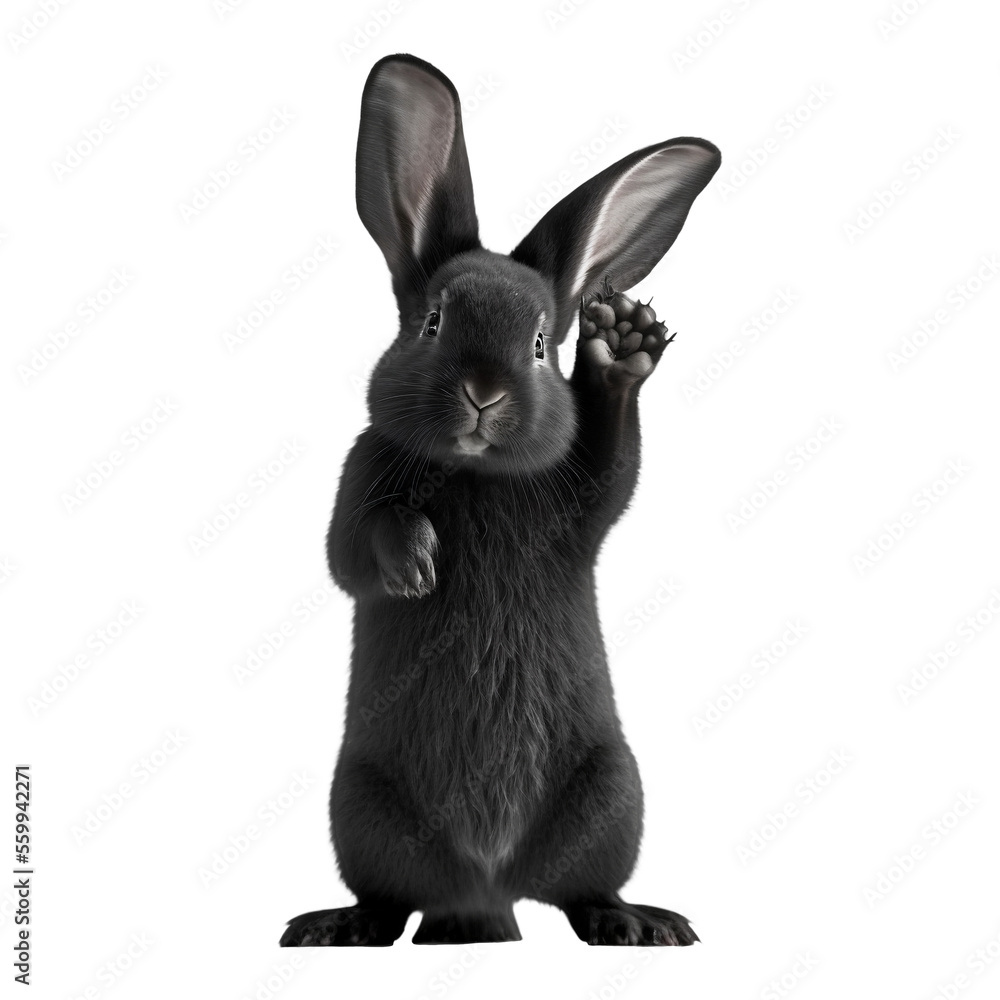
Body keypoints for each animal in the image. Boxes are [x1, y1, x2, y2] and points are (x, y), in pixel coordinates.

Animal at [280, 53, 719, 947]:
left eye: (543, 344)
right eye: (433, 323)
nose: (483, 393)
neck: (476, 475)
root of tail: (487, 893)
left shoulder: (585, 499)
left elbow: (615, 467)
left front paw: (625, 343)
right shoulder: (360, 478)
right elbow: (353, 548)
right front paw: (417, 565)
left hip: (612, 795)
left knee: (583, 889)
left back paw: (638, 923)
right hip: (360, 807)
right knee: (392, 896)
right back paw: (343, 927)